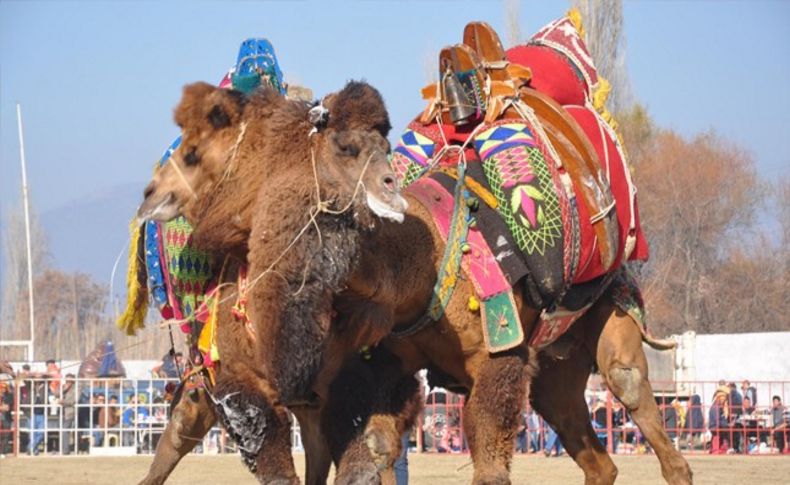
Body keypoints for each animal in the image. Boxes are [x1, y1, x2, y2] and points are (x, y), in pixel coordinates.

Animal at [139, 81, 688, 482]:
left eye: (191, 152)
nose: (151, 192)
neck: (420, 274)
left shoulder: (498, 355)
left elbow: (486, 457)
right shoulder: (375, 368)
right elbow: (371, 447)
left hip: (611, 329)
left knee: (645, 412)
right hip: (556, 375)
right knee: (598, 458)